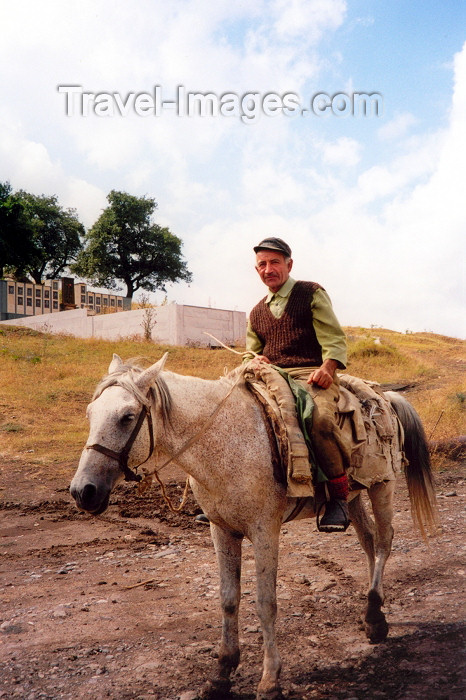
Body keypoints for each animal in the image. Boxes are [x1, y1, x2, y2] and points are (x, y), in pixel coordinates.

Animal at [69, 356, 436, 700]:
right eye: (89, 413)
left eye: (127, 417)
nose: (82, 491)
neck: (228, 441)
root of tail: (385, 396)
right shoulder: (221, 531)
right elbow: (228, 600)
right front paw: (221, 674)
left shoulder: (265, 531)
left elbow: (265, 603)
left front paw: (270, 680)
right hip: (354, 495)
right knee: (369, 541)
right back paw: (372, 616)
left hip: (382, 486)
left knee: (384, 542)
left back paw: (375, 617)